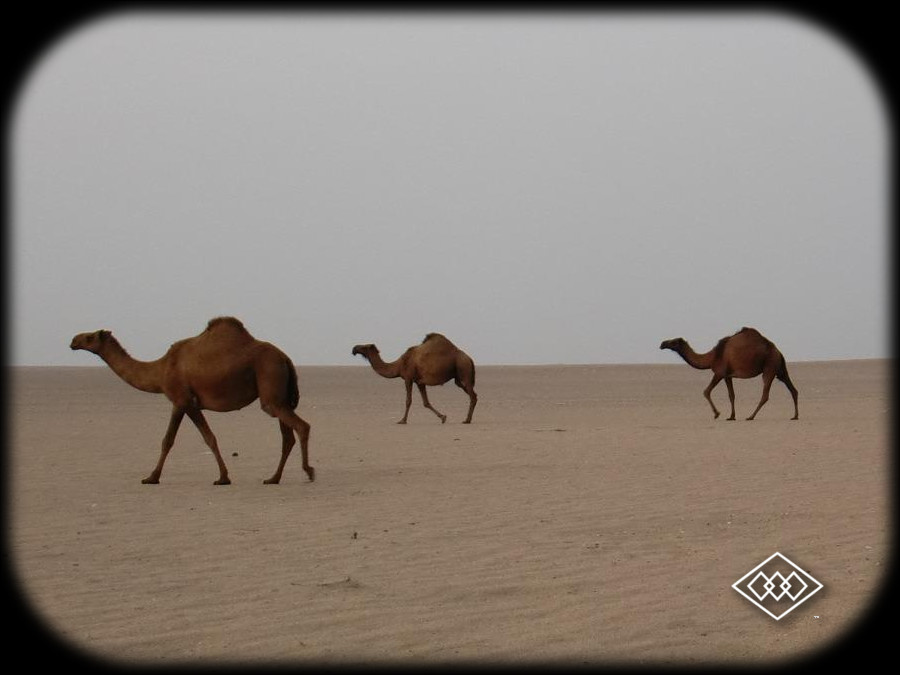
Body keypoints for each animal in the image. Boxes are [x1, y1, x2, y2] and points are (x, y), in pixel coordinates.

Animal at [67, 316, 312, 486]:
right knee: (287, 436)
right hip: (280, 395)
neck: (160, 369)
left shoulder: (182, 400)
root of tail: (285, 357)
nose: (73, 340)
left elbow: (185, 439)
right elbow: (191, 438)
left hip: (270, 383)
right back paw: (273, 478)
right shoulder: (186, 404)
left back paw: (308, 471)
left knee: (301, 426)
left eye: (89, 337)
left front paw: (152, 477)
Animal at [656, 324, 800, 420]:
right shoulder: (727, 376)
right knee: (793, 389)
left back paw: (751, 416)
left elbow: (706, 391)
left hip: (769, 366)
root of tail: (778, 351)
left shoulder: (719, 372)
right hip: (780, 369)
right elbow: (731, 395)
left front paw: (717, 414)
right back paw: (795, 416)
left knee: (765, 394)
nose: (662, 343)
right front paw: (731, 416)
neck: (713, 356)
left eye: (674, 342)